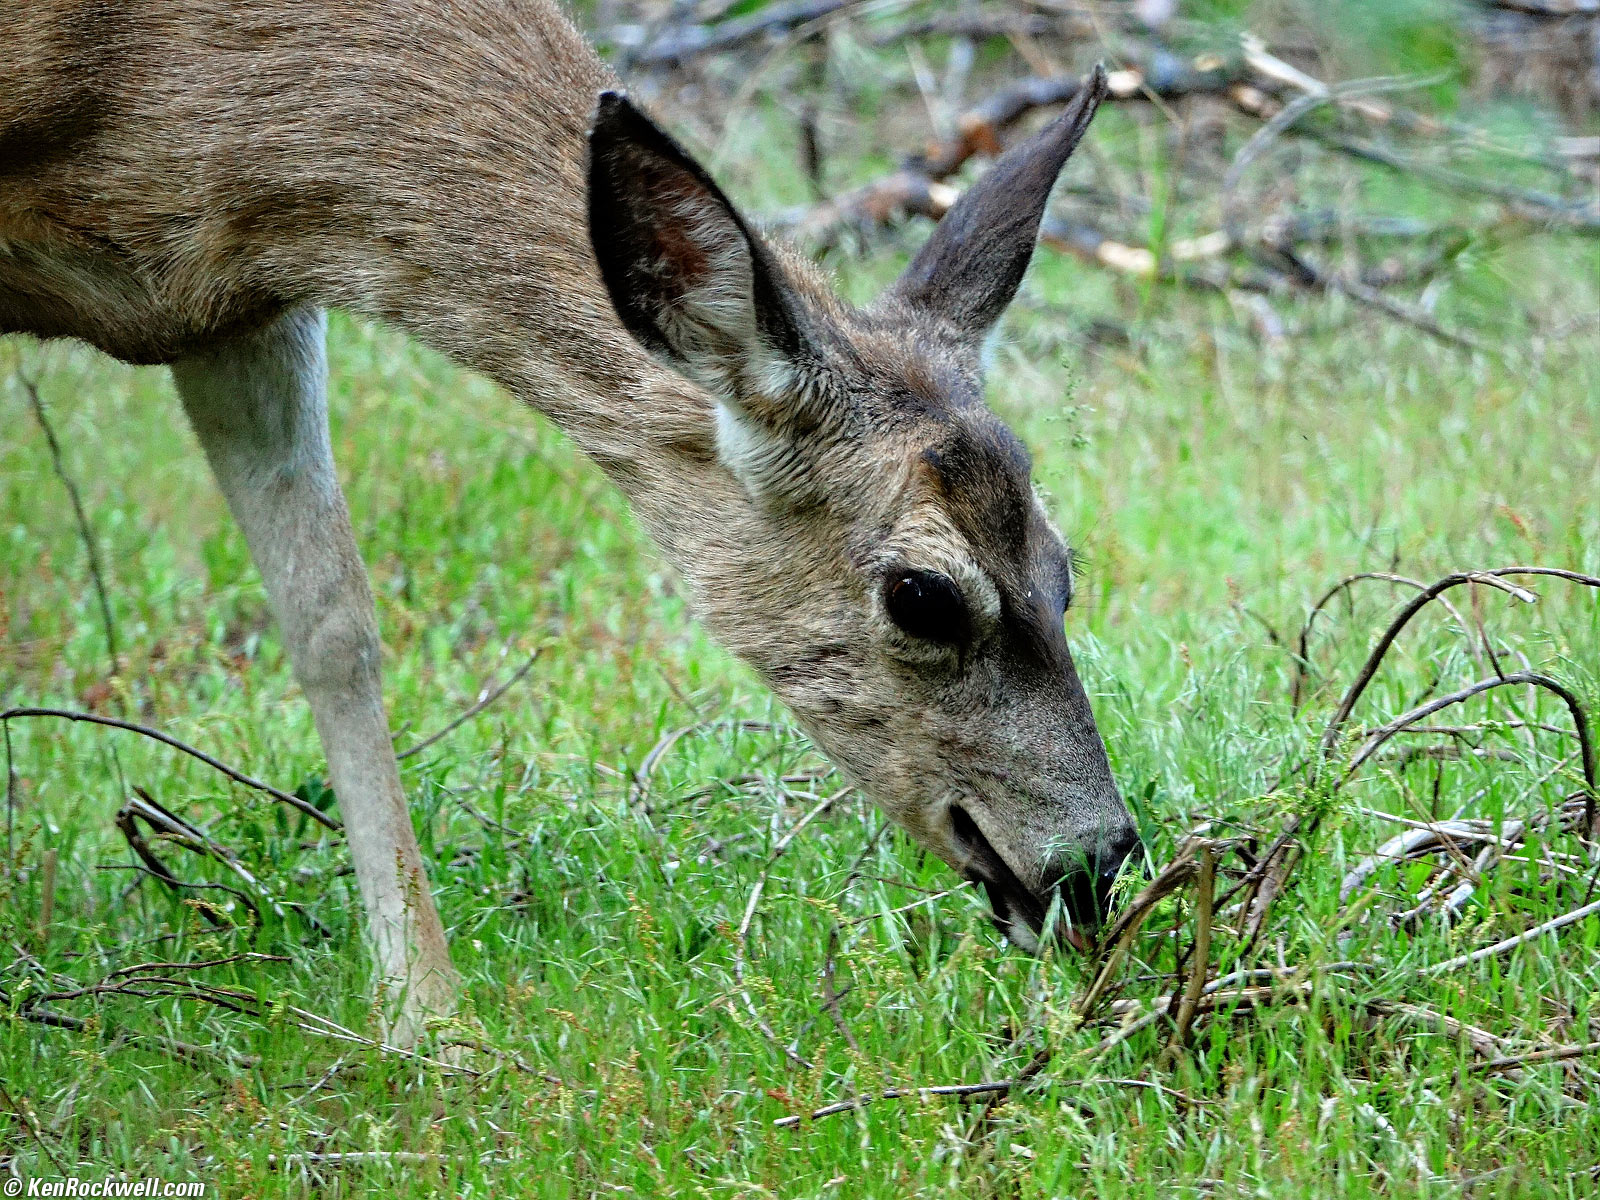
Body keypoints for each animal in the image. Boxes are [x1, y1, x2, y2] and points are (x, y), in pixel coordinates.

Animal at [1, 0, 1142, 1045]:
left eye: (1063, 565)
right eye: (921, 594)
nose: (1099, 859)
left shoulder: (231, 302)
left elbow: (332, 623)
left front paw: (429, 1022)